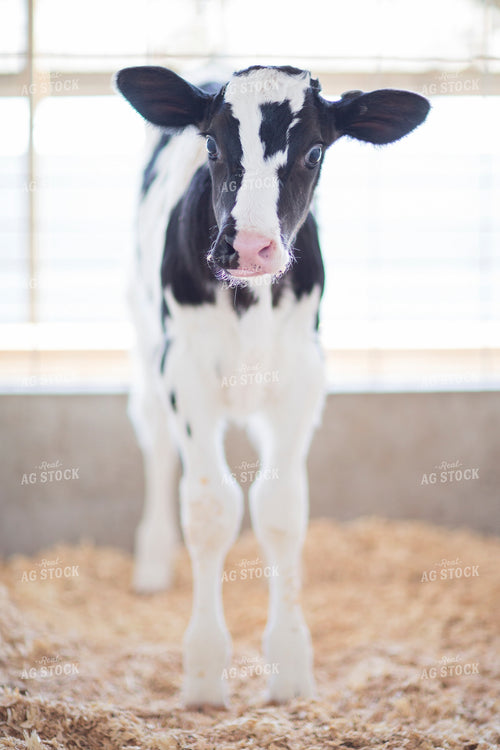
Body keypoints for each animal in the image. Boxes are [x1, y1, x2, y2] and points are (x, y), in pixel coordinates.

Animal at [115, 64, 429, 707]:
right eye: (212, 145)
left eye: (315, 151)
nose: (250, 247)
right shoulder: (184, 372)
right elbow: (210, 507)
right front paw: (204, 671)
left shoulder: (301, 379)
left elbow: (280, 509)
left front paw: (290, 663)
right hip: (144, 339)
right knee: (155, 441)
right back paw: (153, 560)